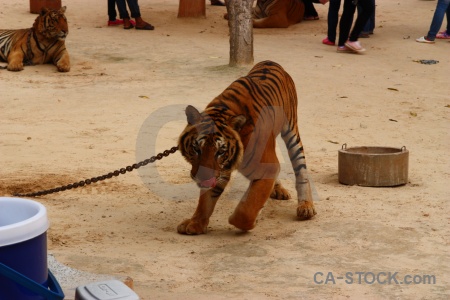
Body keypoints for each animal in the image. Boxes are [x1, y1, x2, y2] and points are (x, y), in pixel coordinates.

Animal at [178, 60, 316, 234]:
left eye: (220, 151)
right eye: (197, 148)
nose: (203, 178)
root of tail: (270, 61)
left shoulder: (266, 168)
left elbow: (247, 209)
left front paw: (248, 221)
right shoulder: (220, 171)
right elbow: (206, 200)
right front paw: (196, 223)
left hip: (291, 130)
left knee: (300, 168)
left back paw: (306, 207)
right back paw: (278, 190)